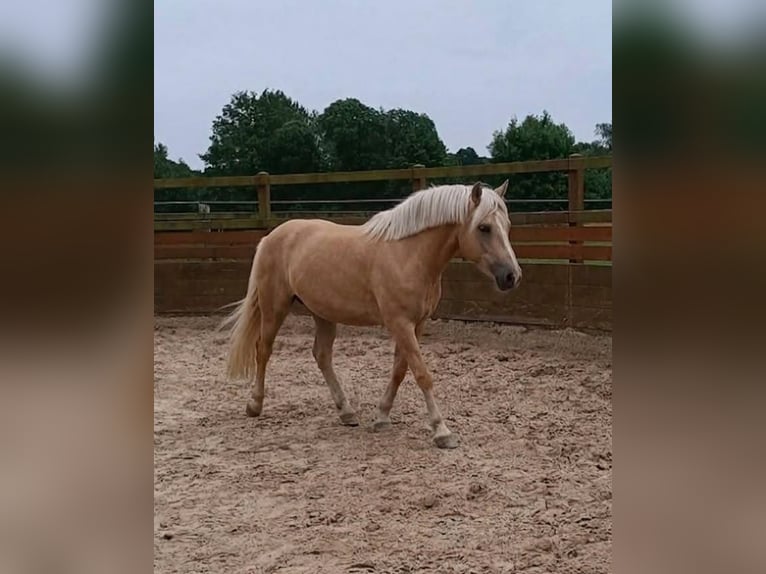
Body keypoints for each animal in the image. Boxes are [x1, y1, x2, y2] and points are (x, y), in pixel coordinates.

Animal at [222, 180, 522, 448]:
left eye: (506, 226)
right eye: (484, 227)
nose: (512, 276)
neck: (409, 254)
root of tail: (270, 237)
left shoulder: (416, 325)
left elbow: (400, 370)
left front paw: (381, 417)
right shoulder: (399, 323)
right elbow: (422, 373)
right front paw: (442, 431)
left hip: (323, 312)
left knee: (322, 355)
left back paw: (346, 412)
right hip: (274, 307)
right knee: (263, 350)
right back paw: (254, 405)